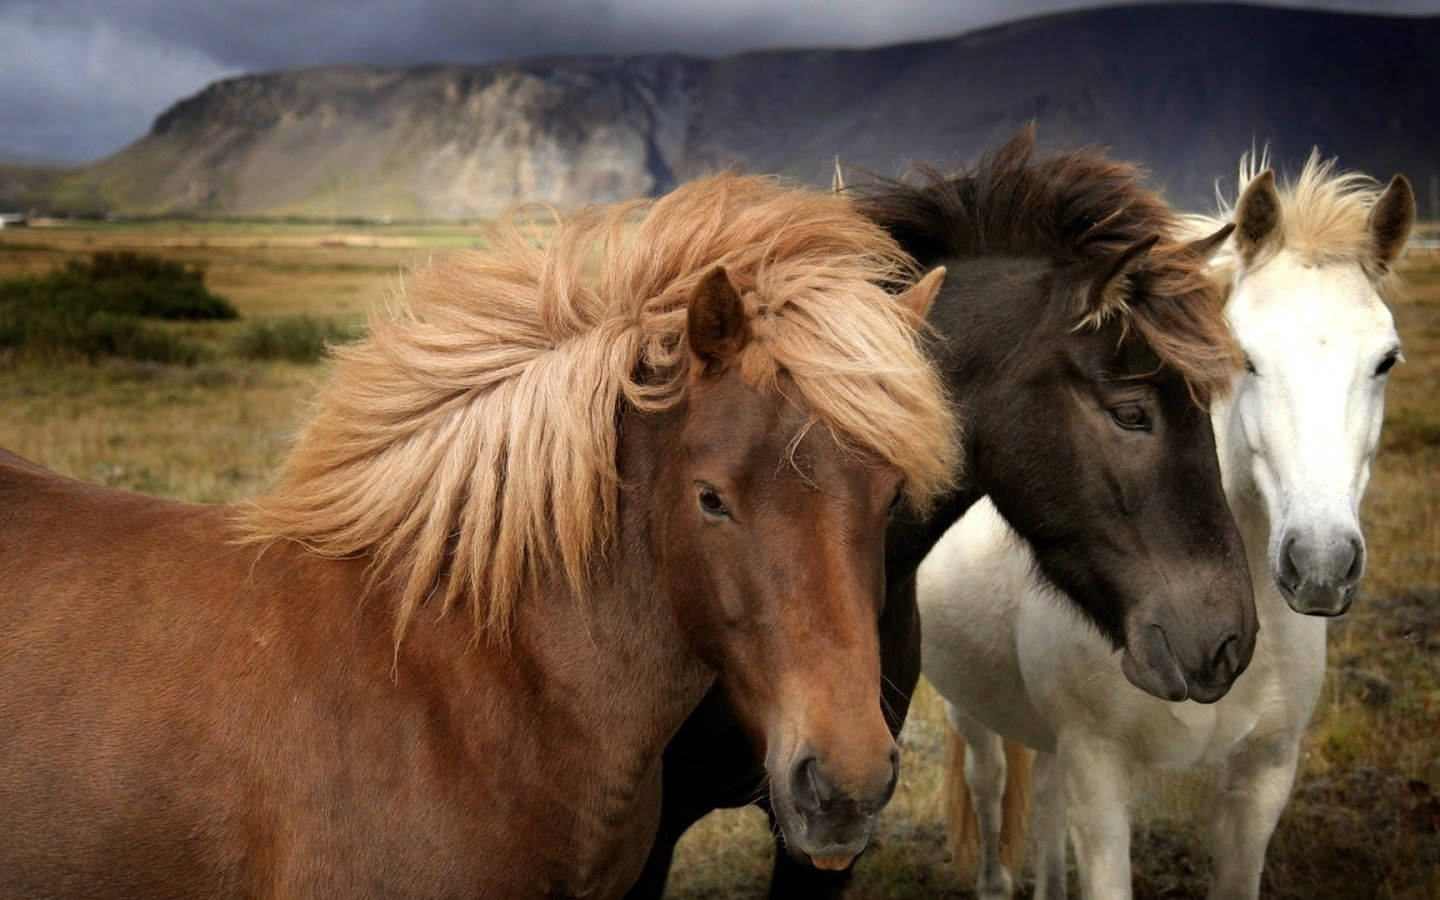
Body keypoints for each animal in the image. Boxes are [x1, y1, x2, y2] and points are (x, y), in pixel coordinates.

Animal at [921, 151, 1405, 892]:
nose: (1321, 563)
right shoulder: (1099, 776)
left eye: (1386, 359)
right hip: (968, 707)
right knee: (988, 780)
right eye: (1245, 359)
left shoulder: (1262, 782)